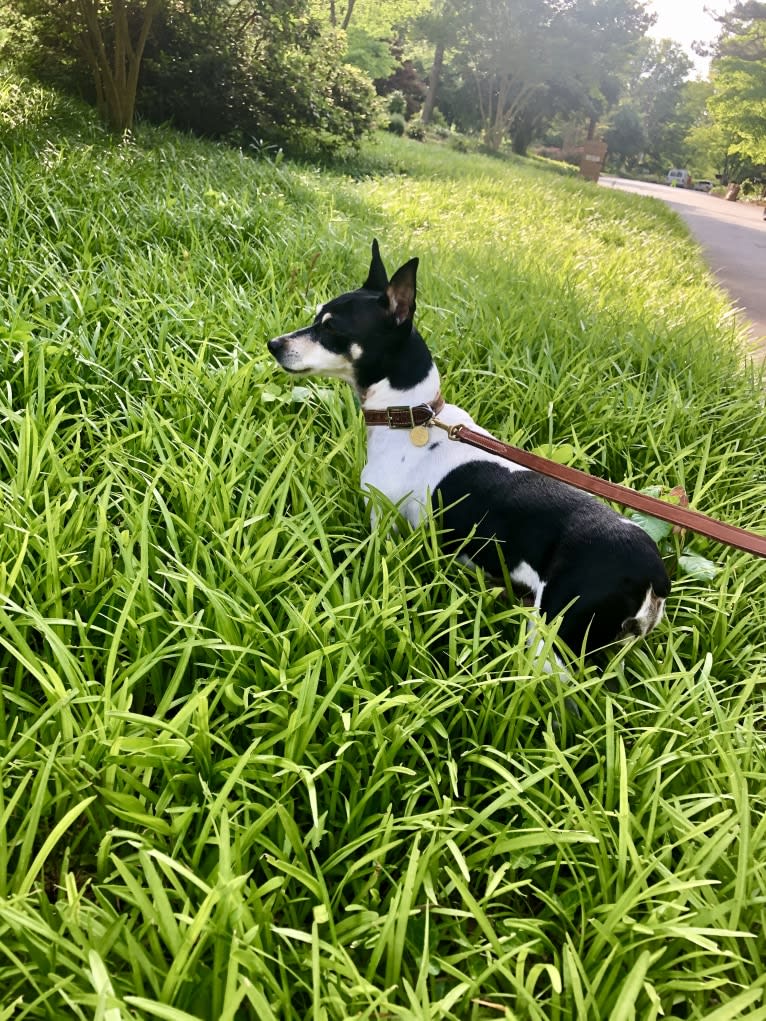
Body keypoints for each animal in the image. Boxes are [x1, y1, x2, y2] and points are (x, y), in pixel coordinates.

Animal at [269, 238, 669, 653]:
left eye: (331, 328)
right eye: (317, 316)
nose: (273, 344)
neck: (411, 414)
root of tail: (654, 573)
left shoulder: (383, 521)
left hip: (554, 638)